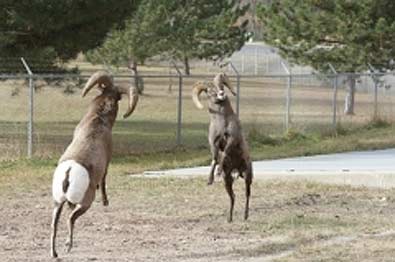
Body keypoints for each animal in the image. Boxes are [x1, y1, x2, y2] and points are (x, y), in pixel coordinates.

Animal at [50, 71, 139, 258]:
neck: (98, 120)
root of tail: (69, 173)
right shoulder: (107, 163)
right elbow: (104, 181)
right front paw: (105, 202)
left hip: (57, 203)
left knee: (54, 224)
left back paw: (54, 253)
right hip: (85, 203)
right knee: (71, 219)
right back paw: (68, 246)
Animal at [193, 72, 254, 222]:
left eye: (221, 86)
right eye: (210, 91)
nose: (221, 93)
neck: (222, 122)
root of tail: (236, 171)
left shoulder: (231, 140)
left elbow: (225, 152)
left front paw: (218, 171)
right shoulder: (213, 144)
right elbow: (215, 158)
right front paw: (211, 179)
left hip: (247, 175)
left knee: (247, 194)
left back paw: (245, 216)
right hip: (228, 182)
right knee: (233, 197)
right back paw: (229, 218)